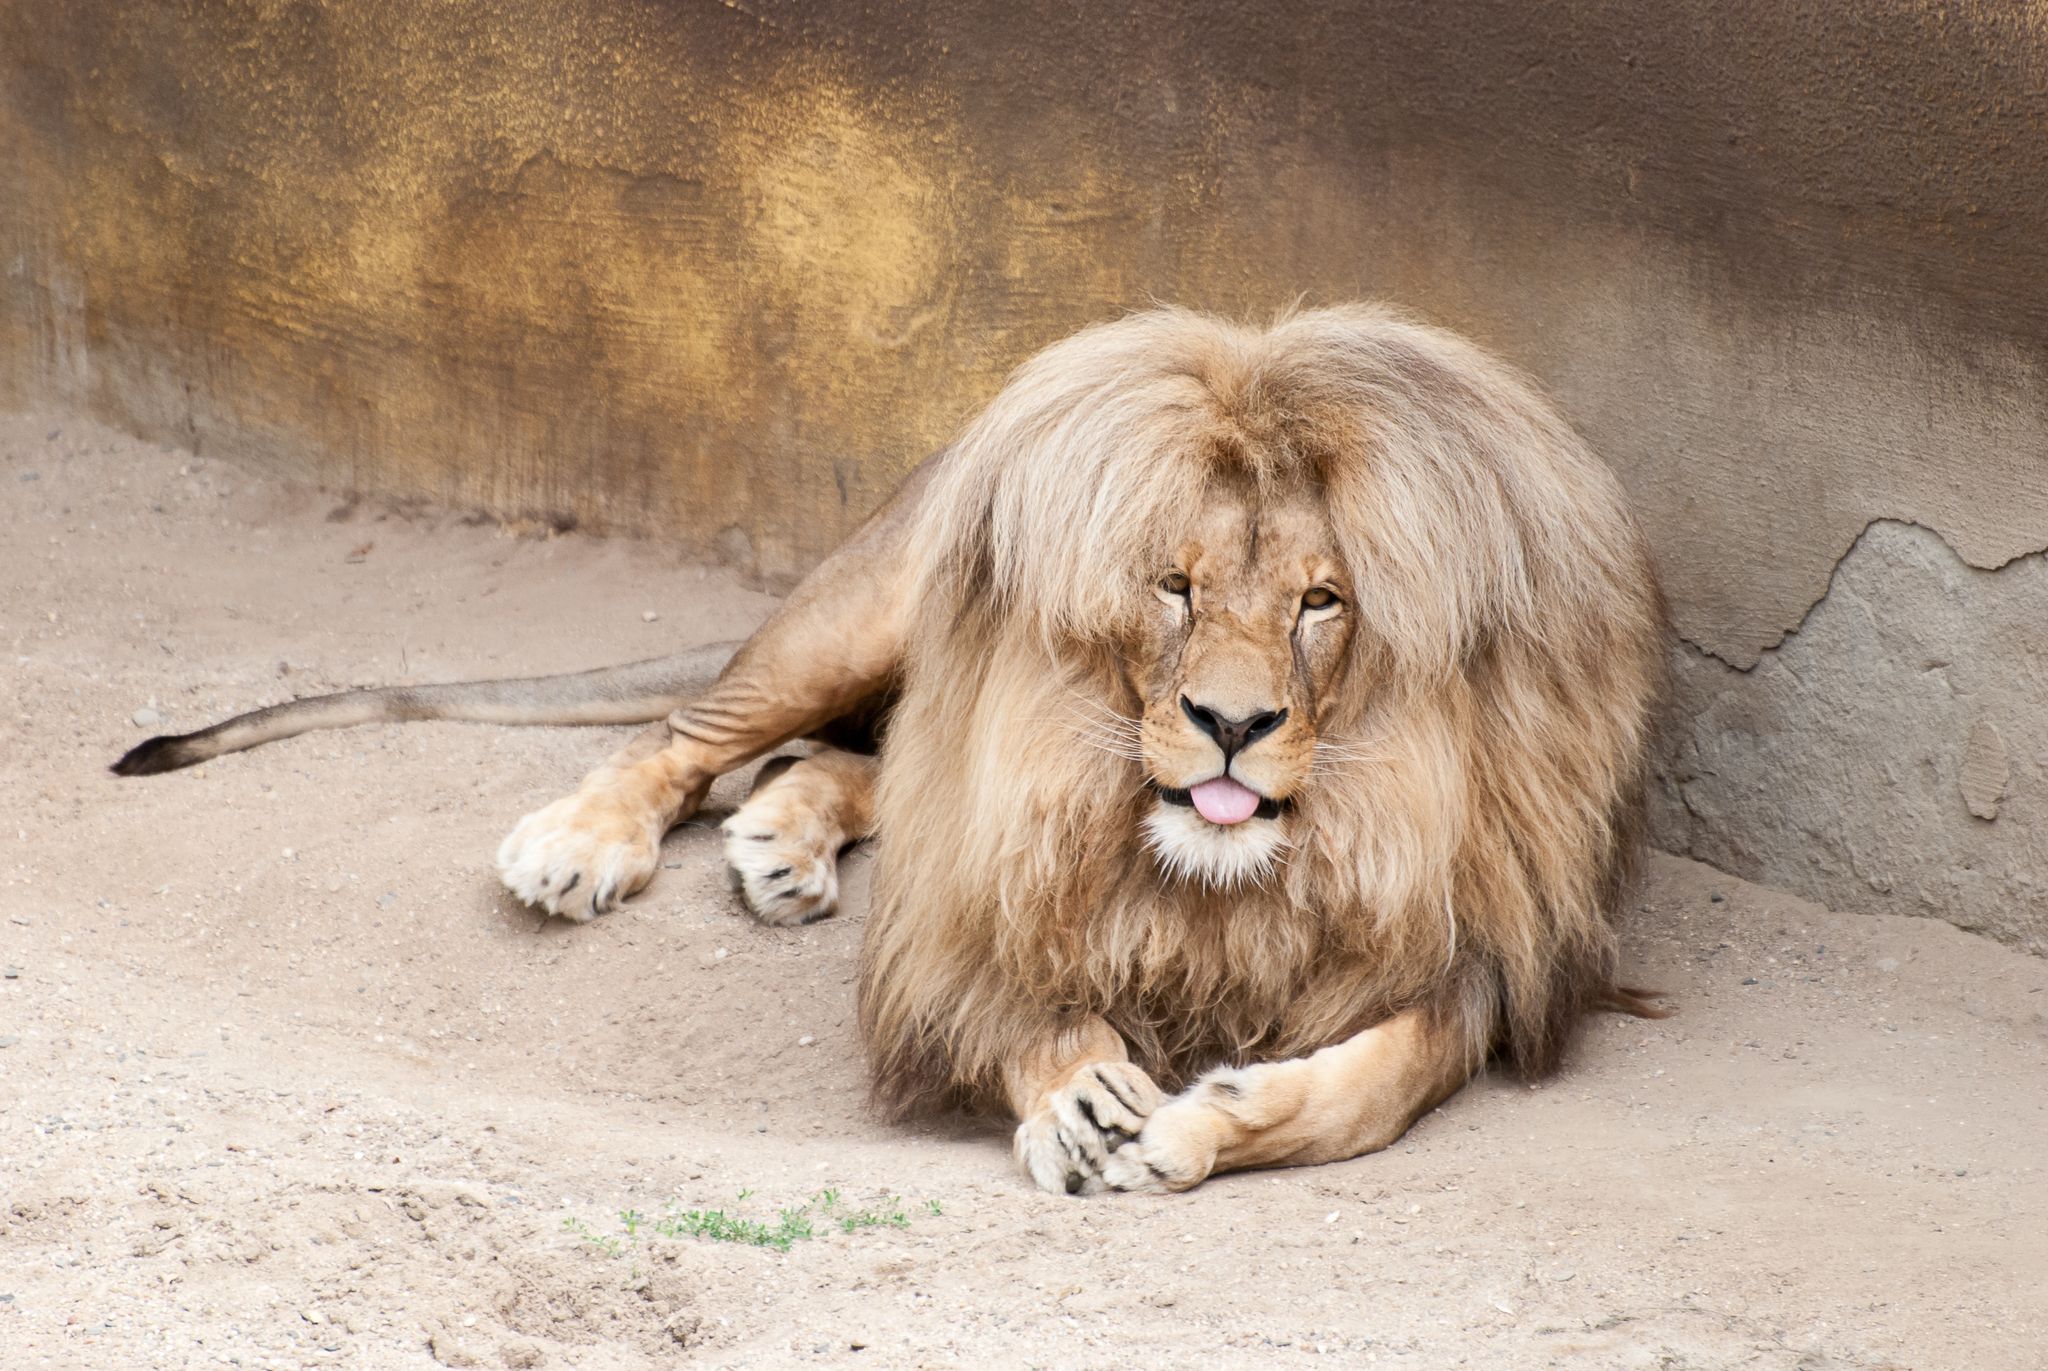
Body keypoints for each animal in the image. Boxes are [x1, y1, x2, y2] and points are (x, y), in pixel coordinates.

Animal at [114, 304, 1665, 1194]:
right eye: (1170, 586)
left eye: (1320, 603)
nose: (1231, 724)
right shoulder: (998, 891)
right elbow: (1011, 984)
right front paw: (1080, 1093)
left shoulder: (1476, 956)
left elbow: (1372, 1085)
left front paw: (1207, 1120)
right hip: (869, 607)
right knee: (696, 731)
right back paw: (582, 840)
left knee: (852, 766)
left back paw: (781, 843)